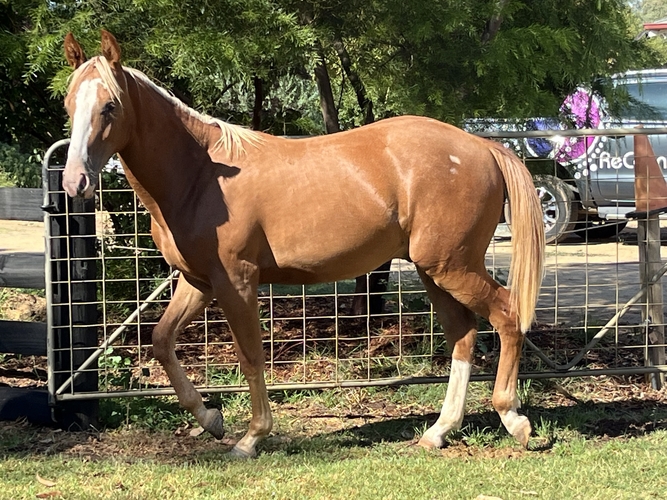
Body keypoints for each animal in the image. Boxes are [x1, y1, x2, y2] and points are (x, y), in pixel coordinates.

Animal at [62, 31, 545, 458]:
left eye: (110, 105)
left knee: (506, 315)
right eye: (69, 103)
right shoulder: (198, 281)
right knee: (462, 334)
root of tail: (482, 146)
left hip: (452, 267)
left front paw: (251, 438)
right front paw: (210, 418)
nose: (74, 182)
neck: (202, 174)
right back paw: (439, 431)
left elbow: (251, 356)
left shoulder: (236, 281)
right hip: (434, 271)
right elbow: (162, 341)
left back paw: (513, 419)